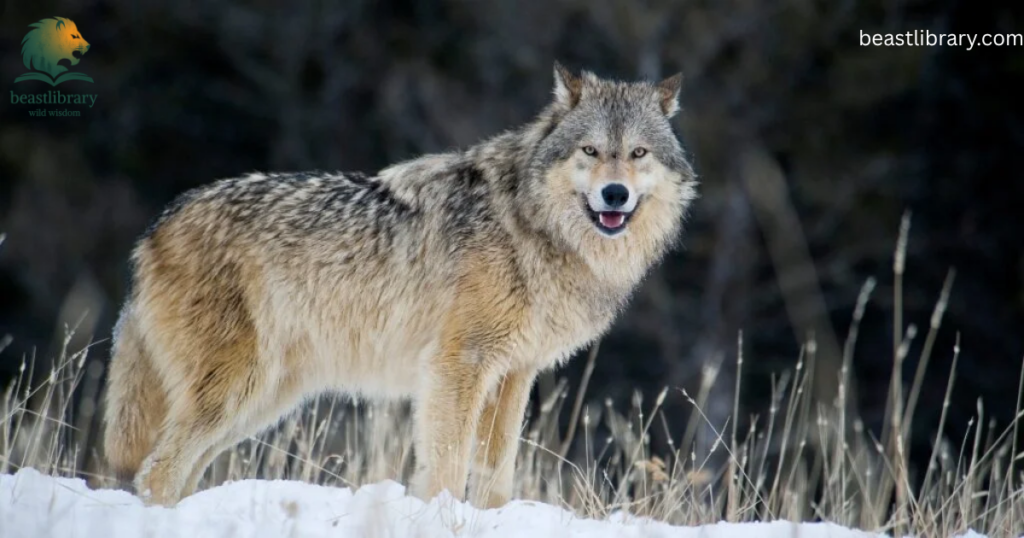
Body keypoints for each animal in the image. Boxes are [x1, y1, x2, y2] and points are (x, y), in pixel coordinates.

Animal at [102, 63, 698, 508]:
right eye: (591, 151)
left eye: (638, 153)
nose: (616, 194)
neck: (531, 226)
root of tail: (155, 228)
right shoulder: (458, 366)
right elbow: (446, 466)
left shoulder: (514, 375)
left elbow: (496, 475)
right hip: (237, 390)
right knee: (156, 471)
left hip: (262, 400)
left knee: (175, 472)